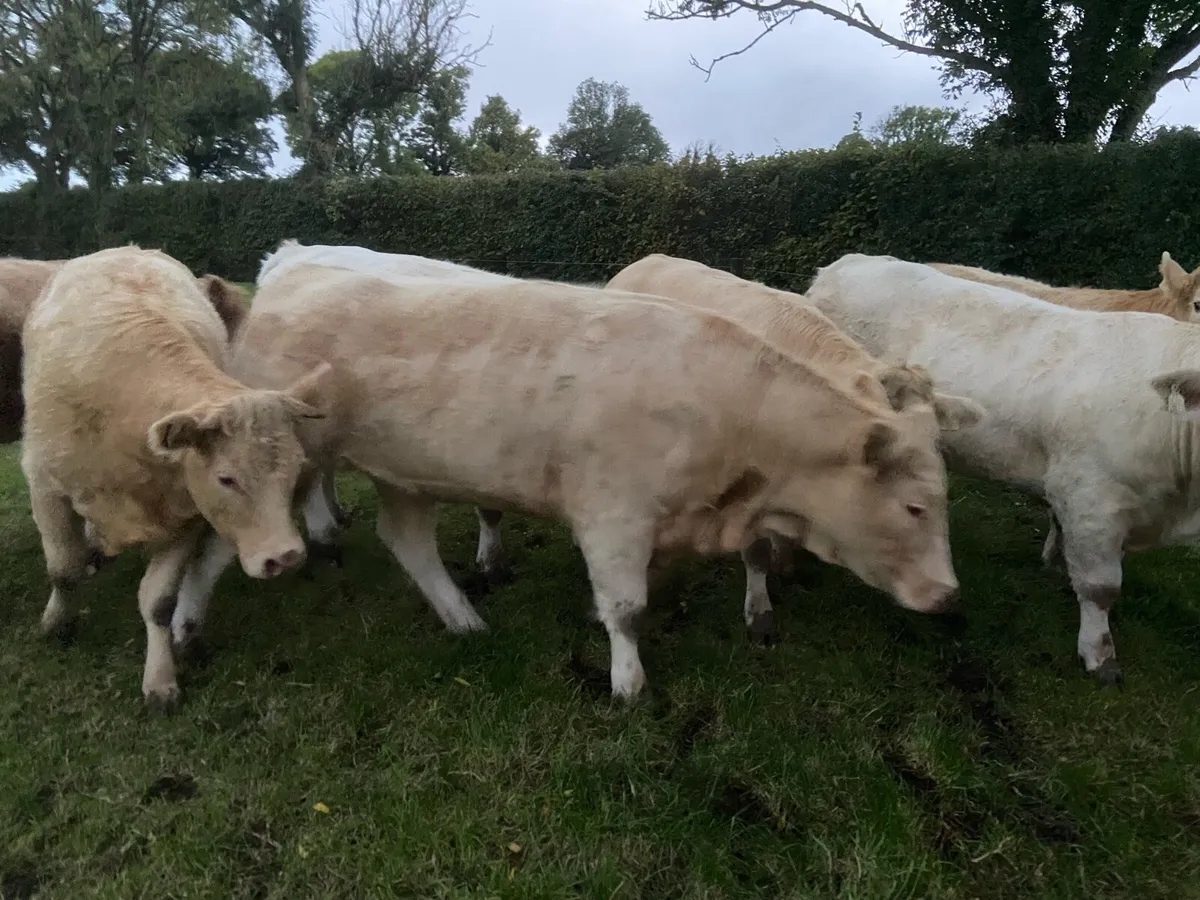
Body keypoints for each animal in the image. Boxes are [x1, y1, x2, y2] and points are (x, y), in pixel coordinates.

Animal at [20, 245, 333, 710]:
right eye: (226, 479)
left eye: (295, 470)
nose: (287, 556)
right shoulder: (45, 487)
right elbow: (64, 569)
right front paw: (56, 624)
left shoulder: (185, 515)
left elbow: (160, 602)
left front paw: (160, 679)